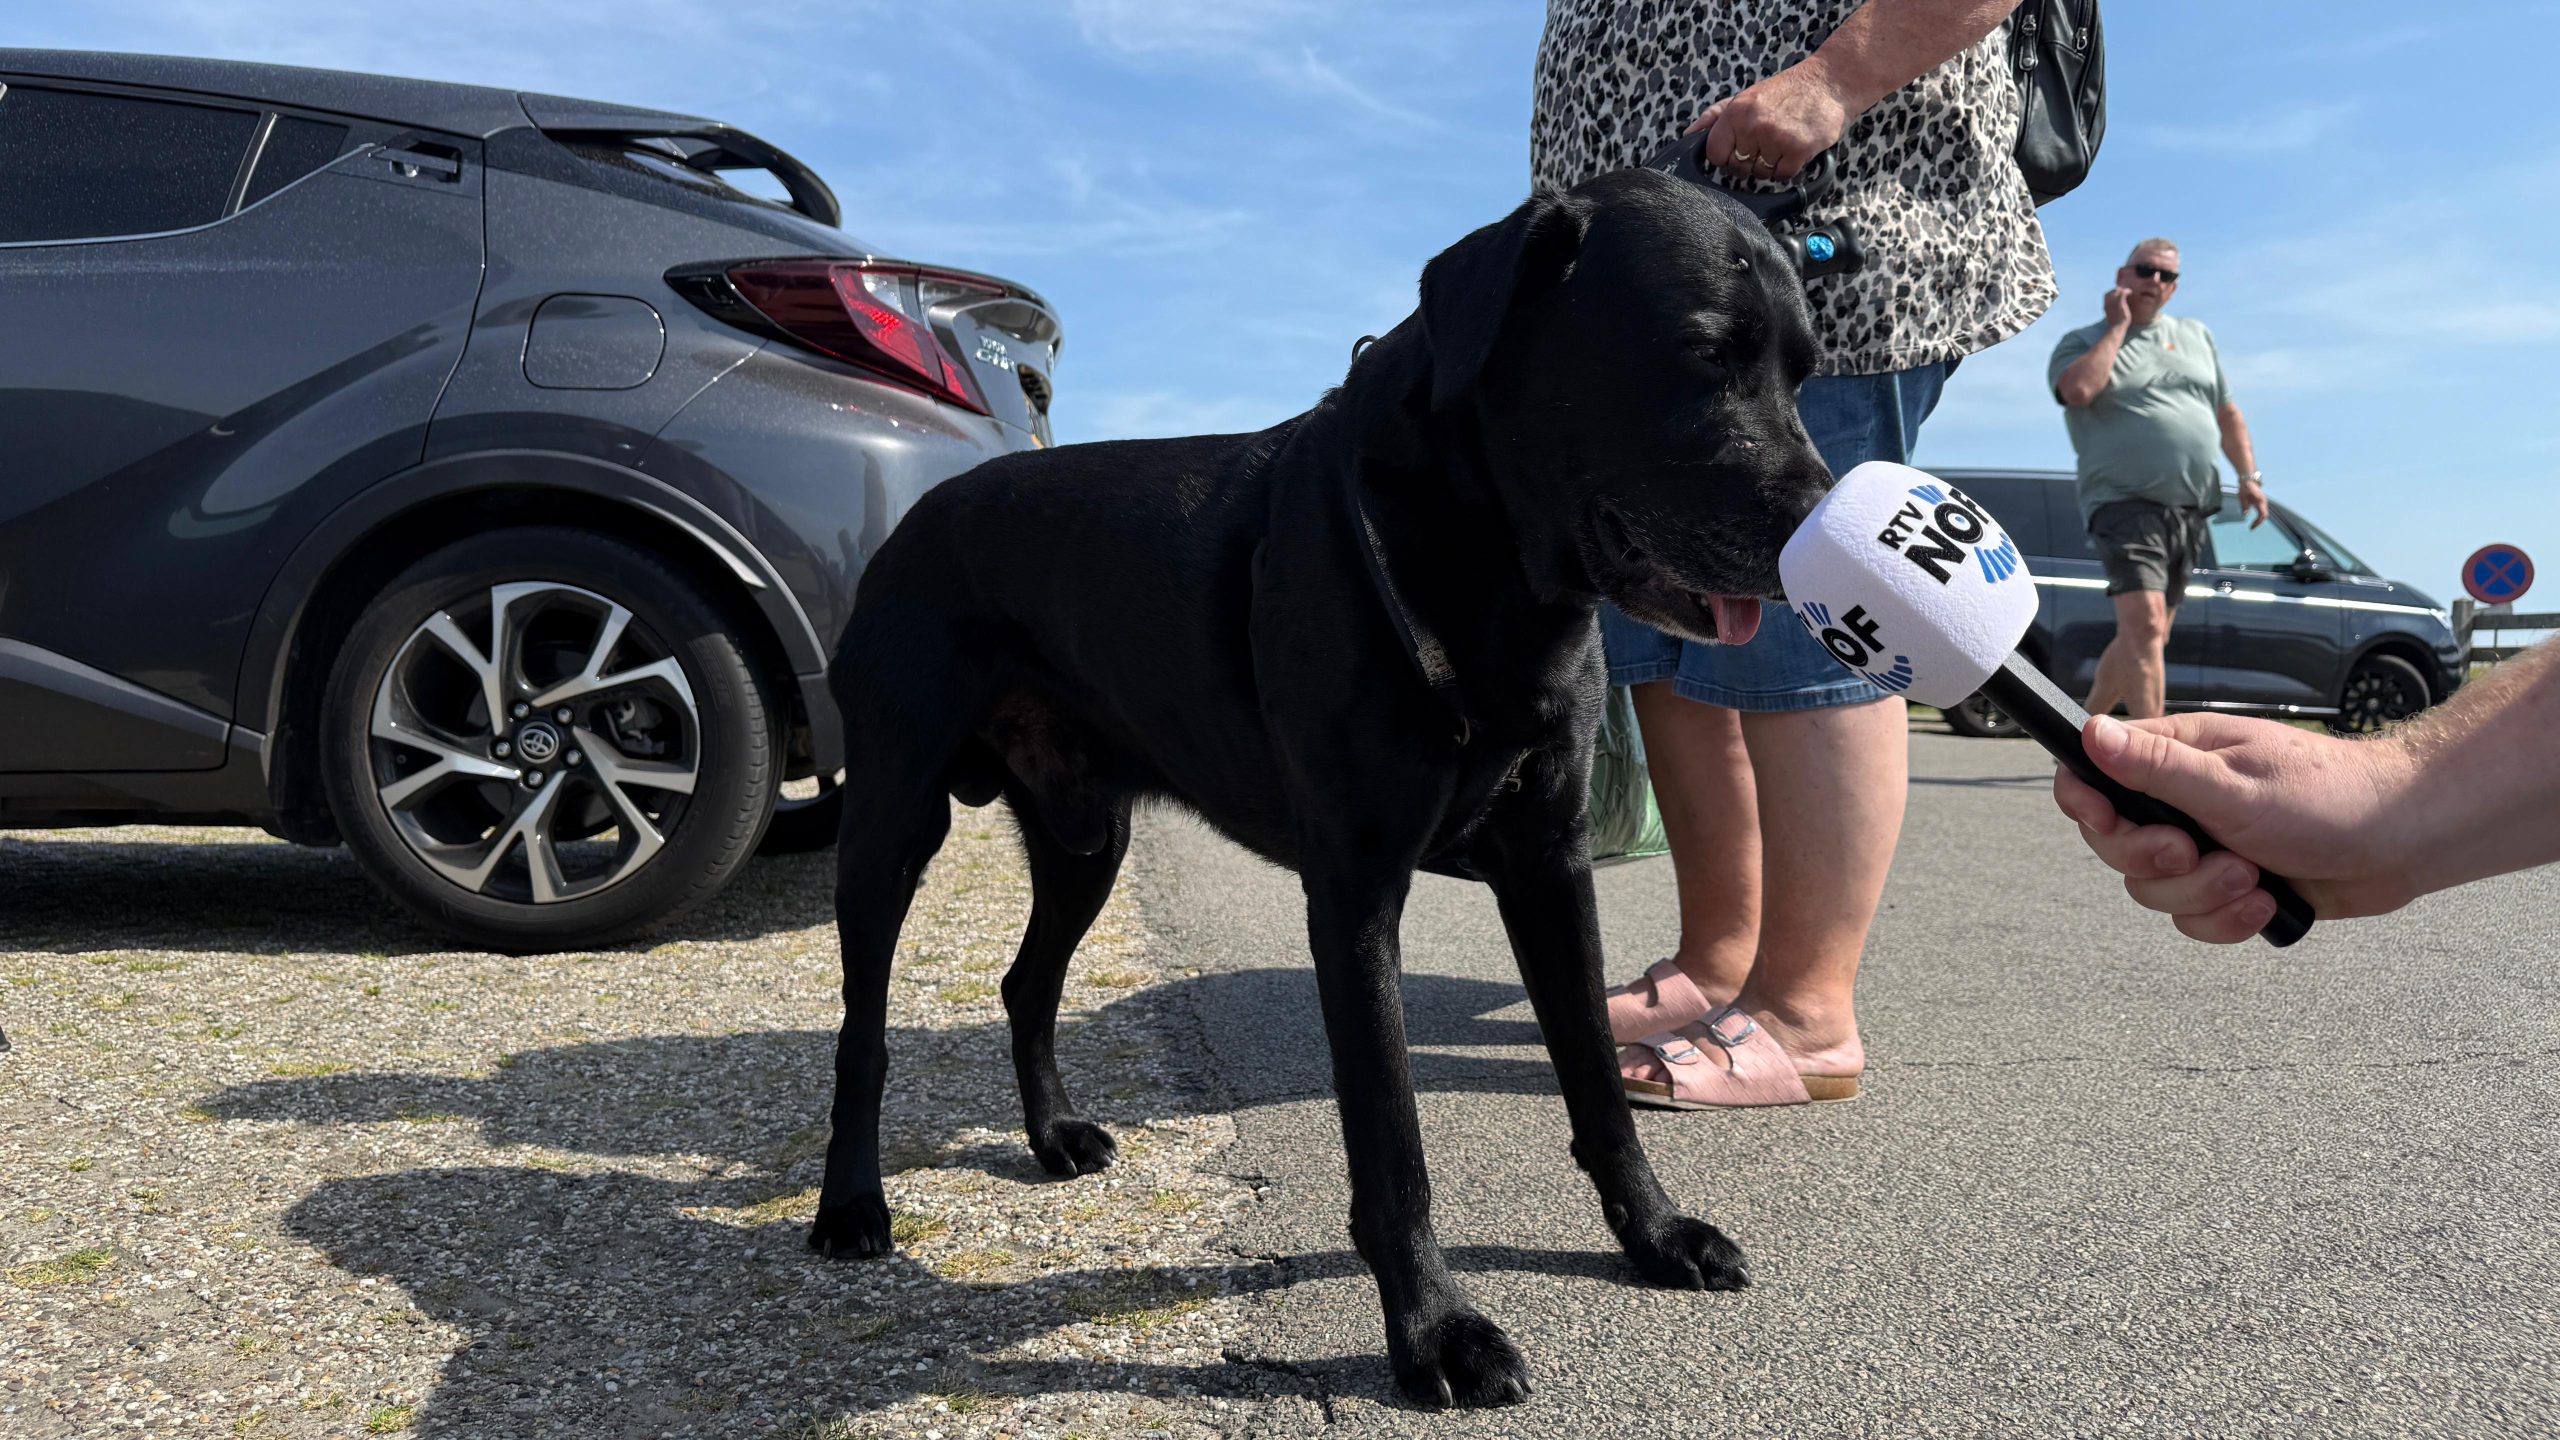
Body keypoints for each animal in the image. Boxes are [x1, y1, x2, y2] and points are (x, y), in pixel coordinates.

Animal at [807, 165, 1831, 1407]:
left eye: (1804, 371)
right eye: (1697, 354)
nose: (1822, 538)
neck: (1480, 570)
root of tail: (926, 511)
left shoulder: (1549, 868)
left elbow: (1592, 1073)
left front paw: (1654, 1234)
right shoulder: (1352, 895)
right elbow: (1391, 1141)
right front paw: (1435, 1332)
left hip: (1086, 842)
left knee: (1024, 984)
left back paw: (1052, 1137)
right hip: (892, 822)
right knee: (864, 1029)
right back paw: (850, 1204)